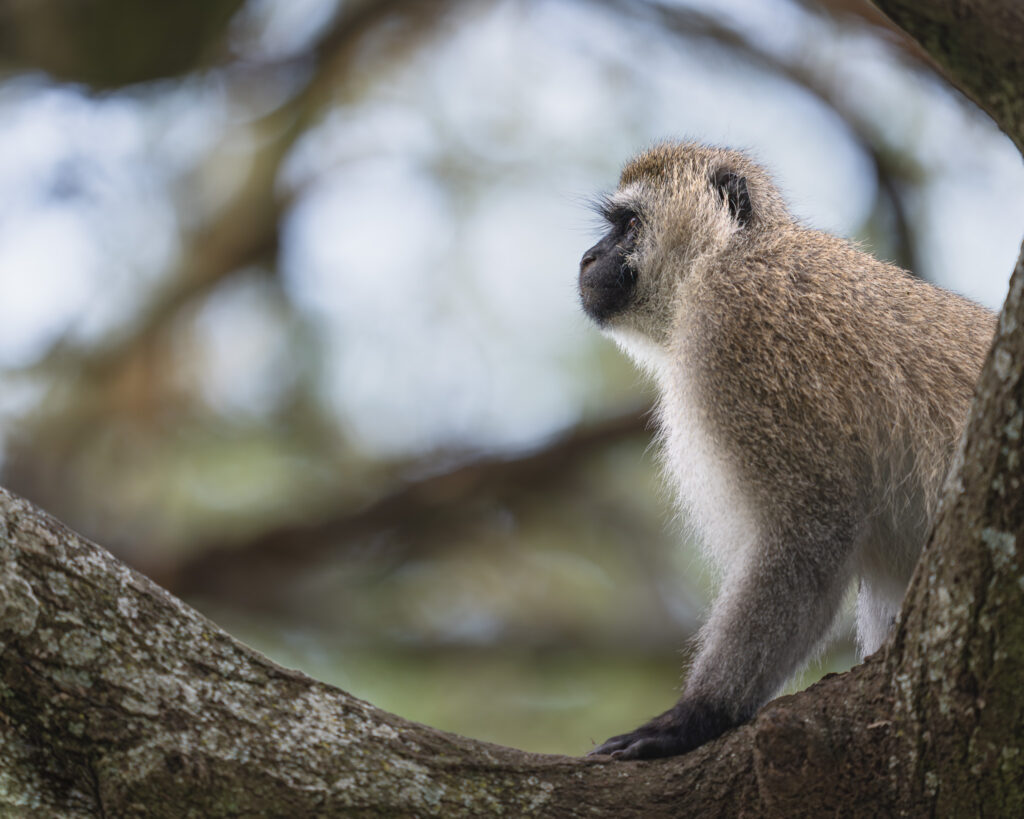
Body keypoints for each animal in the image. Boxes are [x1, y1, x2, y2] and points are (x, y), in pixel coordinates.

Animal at [579, 142, 997, 760]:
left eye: (627, 225)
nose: (588, 257)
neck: (726, 255)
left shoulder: (742, 326)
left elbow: (812, 531)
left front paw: (698, 716)